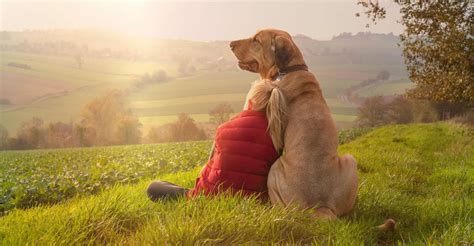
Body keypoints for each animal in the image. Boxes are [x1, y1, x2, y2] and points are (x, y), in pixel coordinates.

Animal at [231, 29, 360, 219]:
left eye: (256, 40)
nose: (230, 44)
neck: (288, 69)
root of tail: (320, 206)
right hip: (351, 161)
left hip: (275, 169)